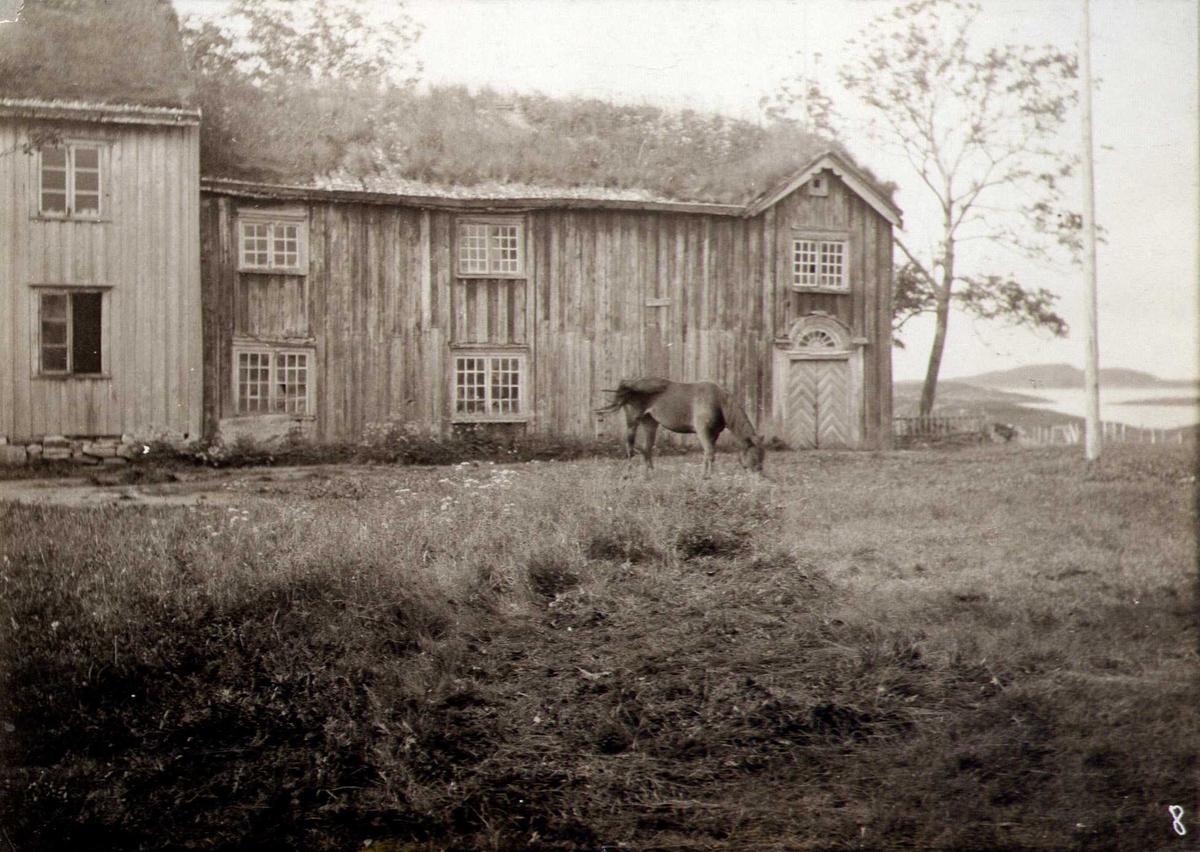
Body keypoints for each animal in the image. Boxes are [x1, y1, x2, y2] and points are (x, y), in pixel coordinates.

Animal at [595, 379, 763, 477]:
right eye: (754, 456)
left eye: (763, 456)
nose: (760, 476)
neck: (719, 401)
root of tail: (629, 385)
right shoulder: (703, 432)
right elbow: (710, 454)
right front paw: (709, 477)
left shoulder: (713, 434)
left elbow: (707, 454)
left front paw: (705, 476)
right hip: (632, 421)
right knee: (630, 448)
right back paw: (629, 474)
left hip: (650, 422)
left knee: (646, 449)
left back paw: (650, 475)